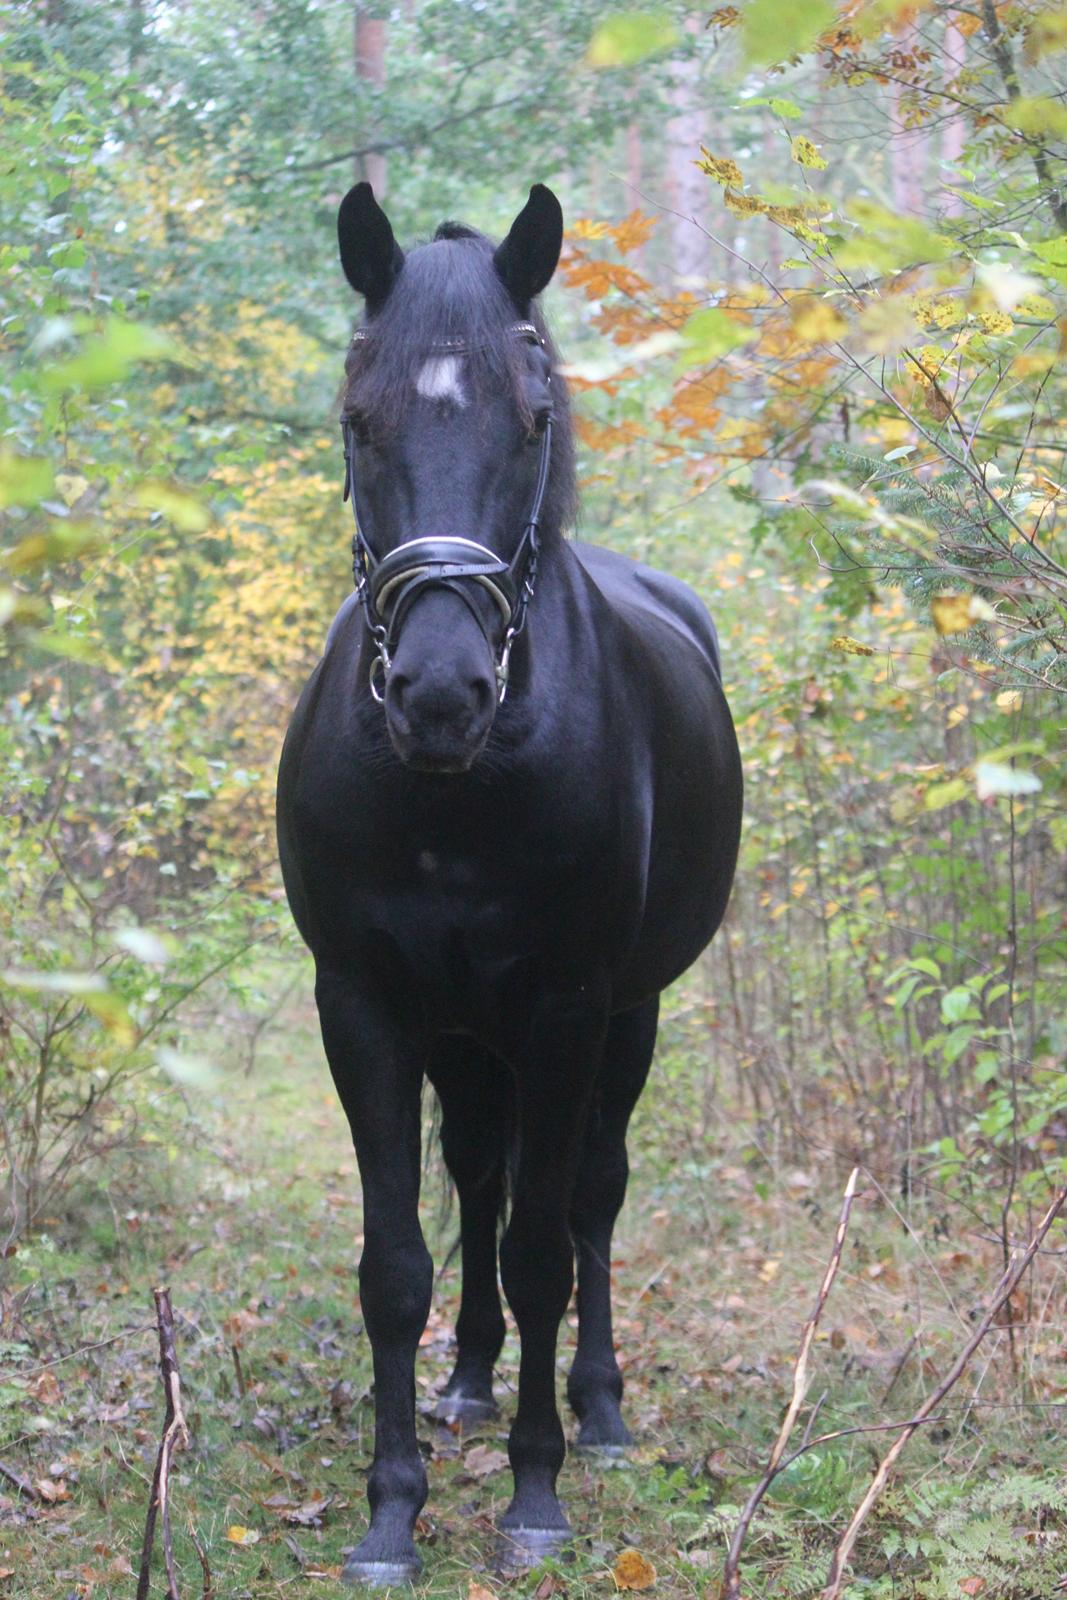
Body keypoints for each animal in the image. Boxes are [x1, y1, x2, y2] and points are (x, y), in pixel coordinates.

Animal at [278, 181, 742, 1580]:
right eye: (355, 418)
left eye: (531, 418)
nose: (440, 693)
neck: (453, 791)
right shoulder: (367, 1006)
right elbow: (397, 1262)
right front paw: (391, 1506)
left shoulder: (566, 1004)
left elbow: (544, 1249)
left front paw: (535, 1494)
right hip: (465, 1036)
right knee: (478, 1179)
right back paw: (471, 1381)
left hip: (620, 1018)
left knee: (585, 1195)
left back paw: (594, 1408)